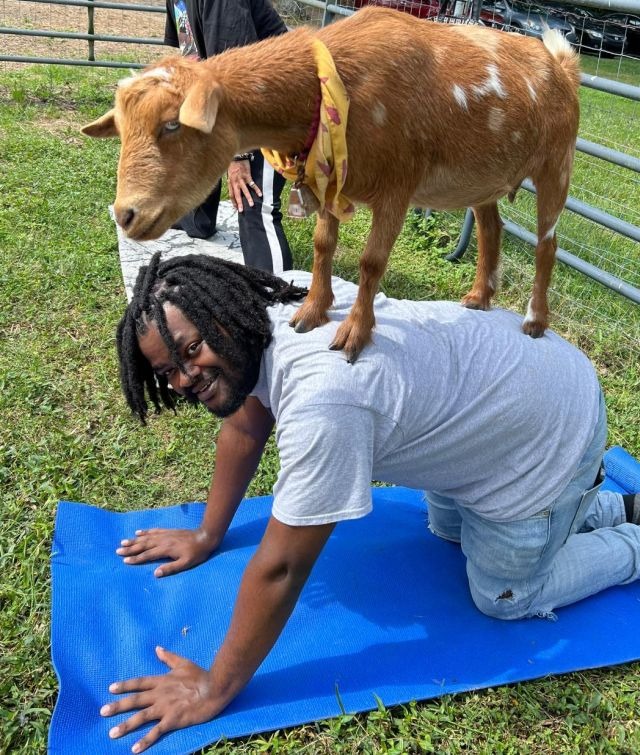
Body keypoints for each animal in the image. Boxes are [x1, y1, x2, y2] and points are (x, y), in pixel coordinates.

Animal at [82, 7, 580, 362]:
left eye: (171, 125)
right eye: (122, 129)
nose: (126, 214)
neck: (332, 85)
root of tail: (562, 65)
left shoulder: (398, 185)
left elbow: (370, 262)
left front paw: (354, 334)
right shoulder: (325, 182)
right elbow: (324, 245)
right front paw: (311, 313)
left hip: (557, 165)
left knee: (547, 245)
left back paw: (535, 321)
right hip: (483, 180)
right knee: (491, 227)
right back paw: (479, 297)